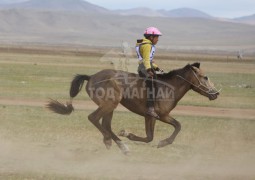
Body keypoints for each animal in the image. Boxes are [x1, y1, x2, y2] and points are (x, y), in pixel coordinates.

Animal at [47, 62, 219, 154]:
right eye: (205, 77)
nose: (216, 93)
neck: (169, 87)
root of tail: (91, 77)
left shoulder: (151, 116)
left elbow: (150, 137)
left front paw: (128, 134)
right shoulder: (161, 115)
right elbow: (177, 126)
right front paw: (163, 142)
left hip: (110, 107)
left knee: (106, 124)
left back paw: (120, 145)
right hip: (110, 103)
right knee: (94, 118)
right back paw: (112, 142)